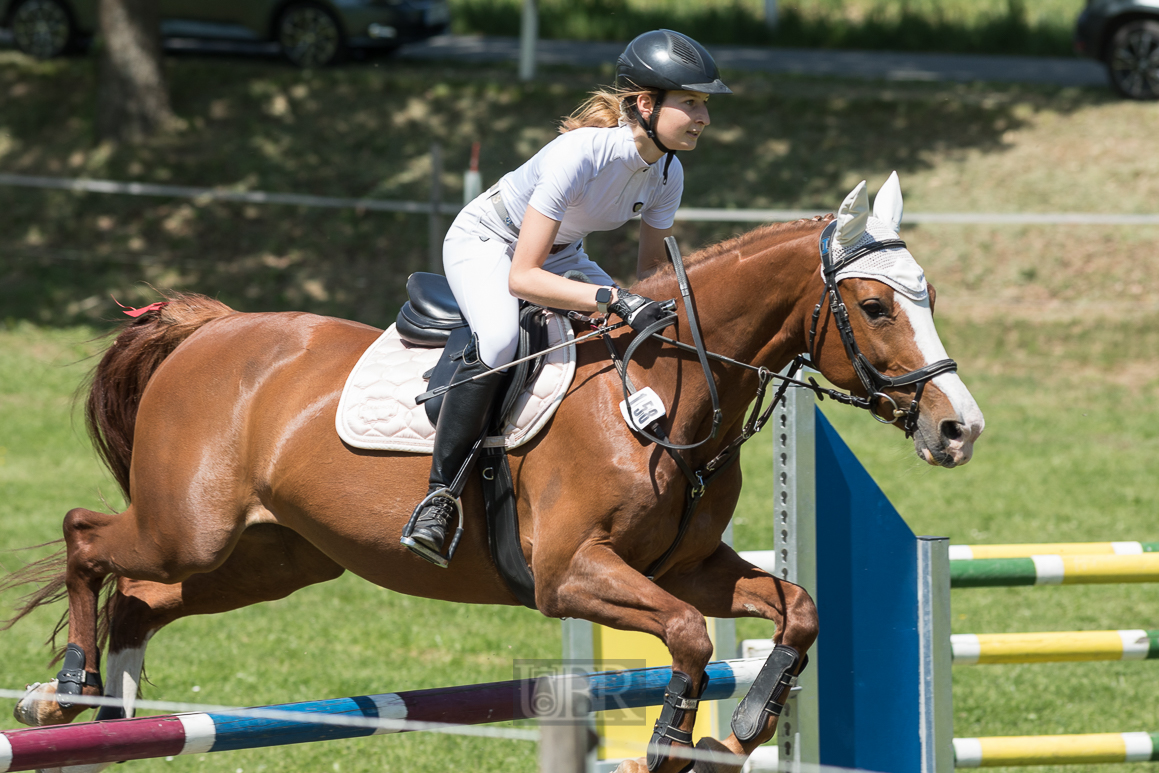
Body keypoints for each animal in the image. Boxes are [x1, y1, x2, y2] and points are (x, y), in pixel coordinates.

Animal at [4, 174, 982, 773]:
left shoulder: (688, 567)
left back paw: (118, 713)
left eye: (929, 297)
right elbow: (689, 639)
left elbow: (797, 609)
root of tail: (209, 328)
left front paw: (744, 725)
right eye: (873, 305)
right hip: (190, 525)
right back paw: (66, 690)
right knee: (87, 535)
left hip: (269, 557)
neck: (664, 388)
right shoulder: (570, 575)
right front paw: (668, 744)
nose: (958, 427)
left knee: (141, 599)